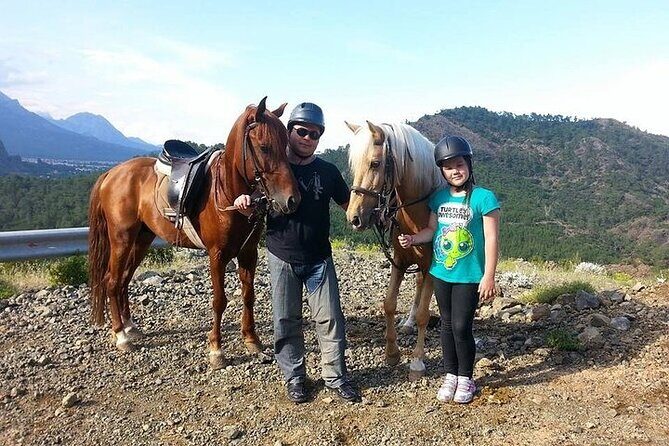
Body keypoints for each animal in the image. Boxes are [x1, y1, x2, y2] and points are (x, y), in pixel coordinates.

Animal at [88, 97, 300, 369]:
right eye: (264, 147)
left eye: (287, 145)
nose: (292, 200)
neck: (228, 192)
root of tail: (111, 174)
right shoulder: (217, 255)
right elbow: (219, 301)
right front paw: (216, 350)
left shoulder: (248, 253)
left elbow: (248, 295)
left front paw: (251, 339)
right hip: (121, 239)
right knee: (112, 281)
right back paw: (121, 336)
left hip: (142, 239)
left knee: (124, 279)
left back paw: (131, 327)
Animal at [345, 121, 446, 379]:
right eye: (354, 165)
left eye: (375, 163)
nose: (354, 218)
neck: (419, 213)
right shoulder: (399, 261)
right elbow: (389, 303)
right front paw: (391, 353)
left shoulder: (431, 266)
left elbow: (424, 315)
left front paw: (417, 361)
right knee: (418, 284)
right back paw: (407, 323)